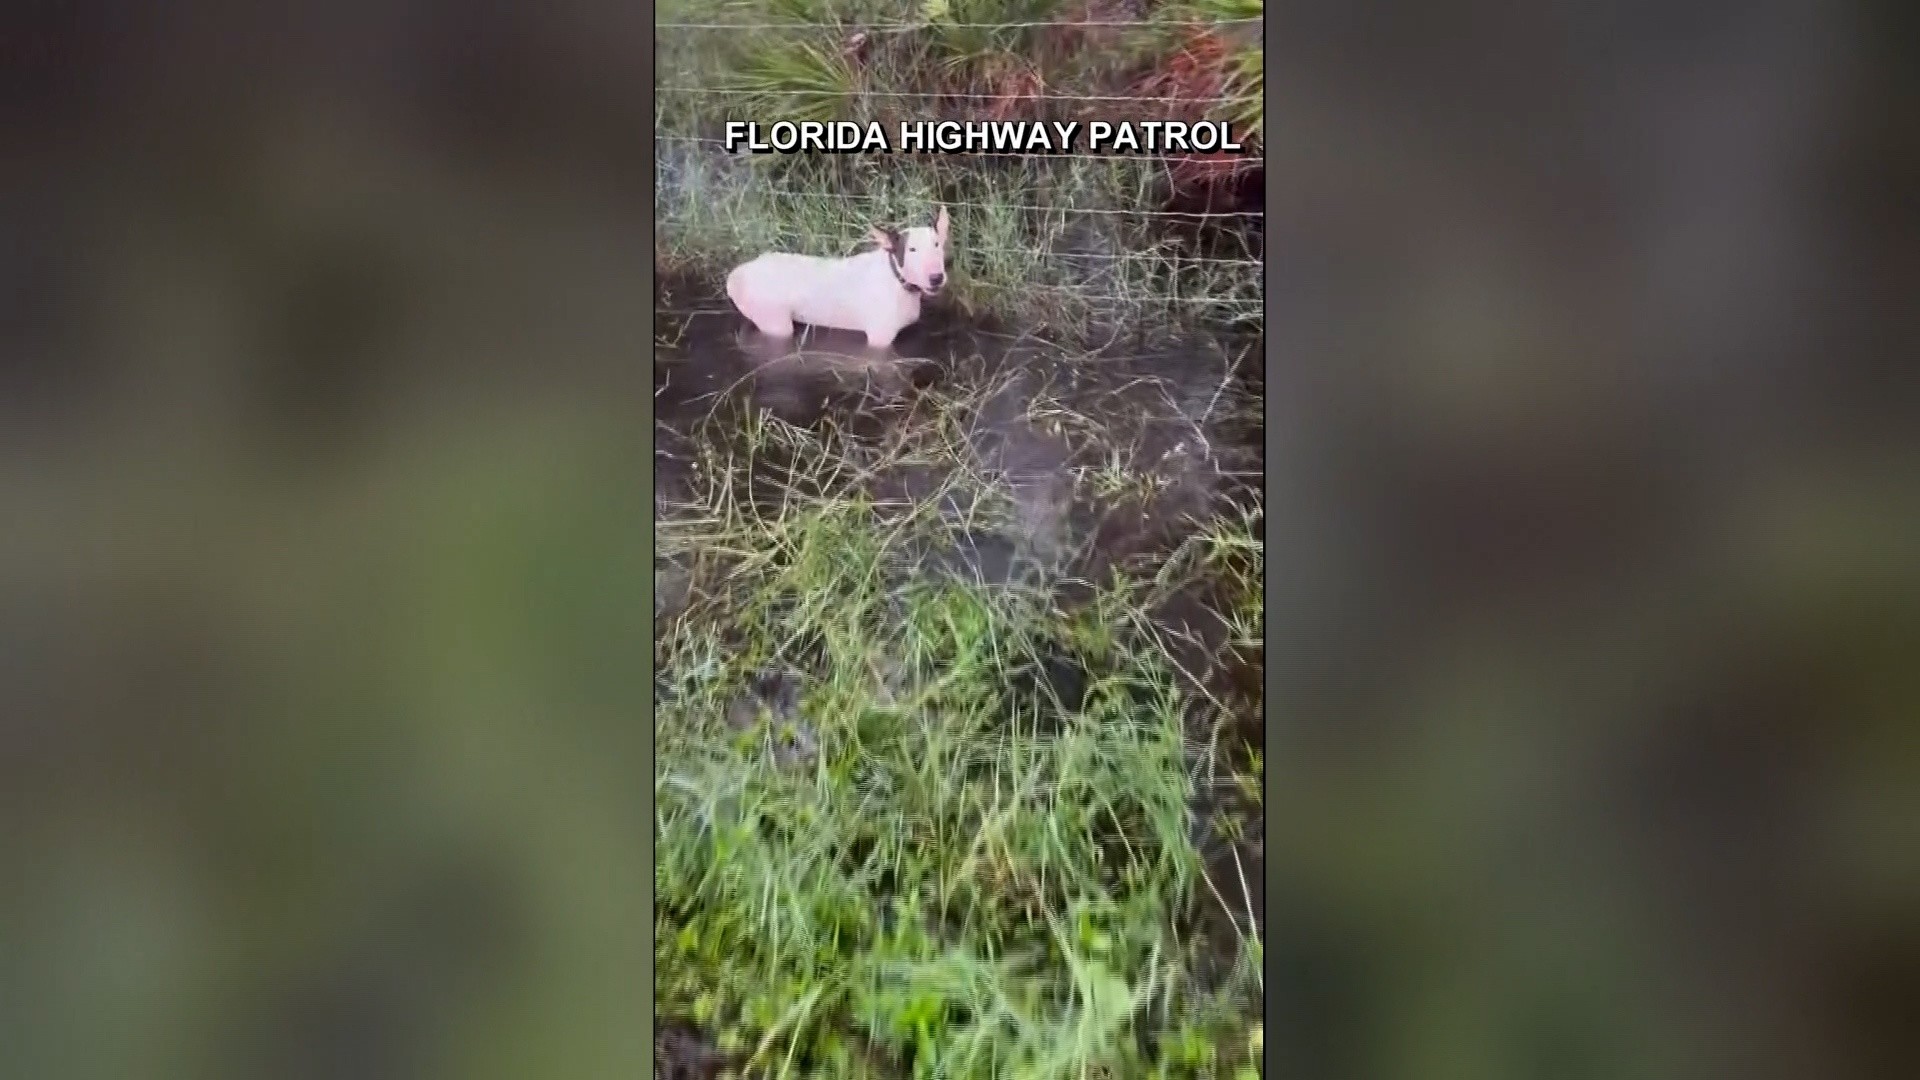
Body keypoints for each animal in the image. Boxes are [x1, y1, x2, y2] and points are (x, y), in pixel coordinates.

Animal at [725, 204, 952, 343]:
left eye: (936, 244)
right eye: (911, 249)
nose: (936, 277)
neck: (897, 280)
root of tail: (737, 274)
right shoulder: (879, 338)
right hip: (774, 321)